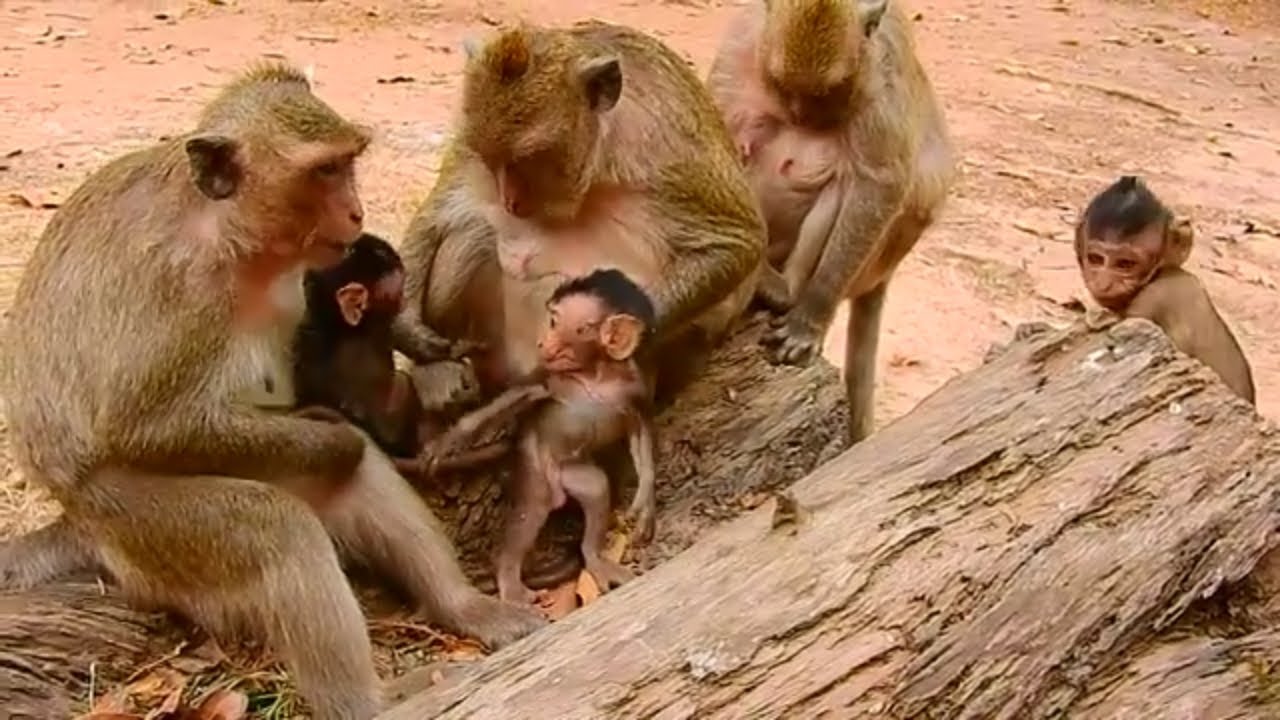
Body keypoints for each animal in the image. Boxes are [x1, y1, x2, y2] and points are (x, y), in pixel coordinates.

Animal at [0, 62, 543, 720]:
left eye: (348, 163)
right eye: (325, 171)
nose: (357, 211)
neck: (235, 244)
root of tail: (79, 520)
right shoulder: (181, 294)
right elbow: (144, 429)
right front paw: (342, 435)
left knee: (348, 479)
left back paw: (463, 606)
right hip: (135, 523)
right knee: (277, 527)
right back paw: (365, 700)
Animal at [392, 20, 767, 410]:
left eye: (530, 161)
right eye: (490, 159)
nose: (509, 201)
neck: (601, 155)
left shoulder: (668, 147)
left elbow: (736, 242)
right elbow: (437, 216)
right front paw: (408, 331)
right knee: (474, 231)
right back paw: (438, 374)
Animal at [488, 268, 659, 606]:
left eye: (556, 323)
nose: (541, 341)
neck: (595, 374)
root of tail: (559, 488)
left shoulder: (634, 385)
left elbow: (640, 429)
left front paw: (645, 499)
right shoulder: (549, 379)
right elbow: (513, 400)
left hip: (574, 473)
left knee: (596, 489)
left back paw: (595, 559)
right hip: (536, 465)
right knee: (531, 511)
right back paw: (510, 582)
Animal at [706, 0, 957, 445]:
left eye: (826, 92)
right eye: (781, 83)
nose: (800, 114)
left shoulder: (879, 85)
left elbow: (880, 185)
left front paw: (809, 321)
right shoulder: (739, 48)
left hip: (872, 260)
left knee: (846, 182)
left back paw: (782, 290)